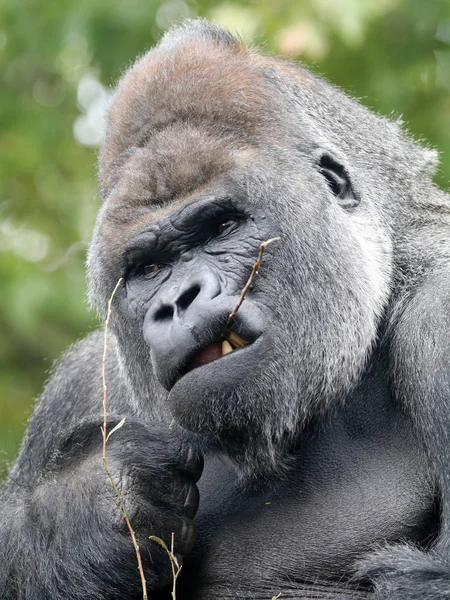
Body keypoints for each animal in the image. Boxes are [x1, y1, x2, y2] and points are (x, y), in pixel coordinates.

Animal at [0, 19, 450, 600]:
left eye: (221, 227)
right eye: (148, 267)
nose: (177, 300)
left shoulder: (440, 319)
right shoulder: (77, 382)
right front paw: (82, 513)